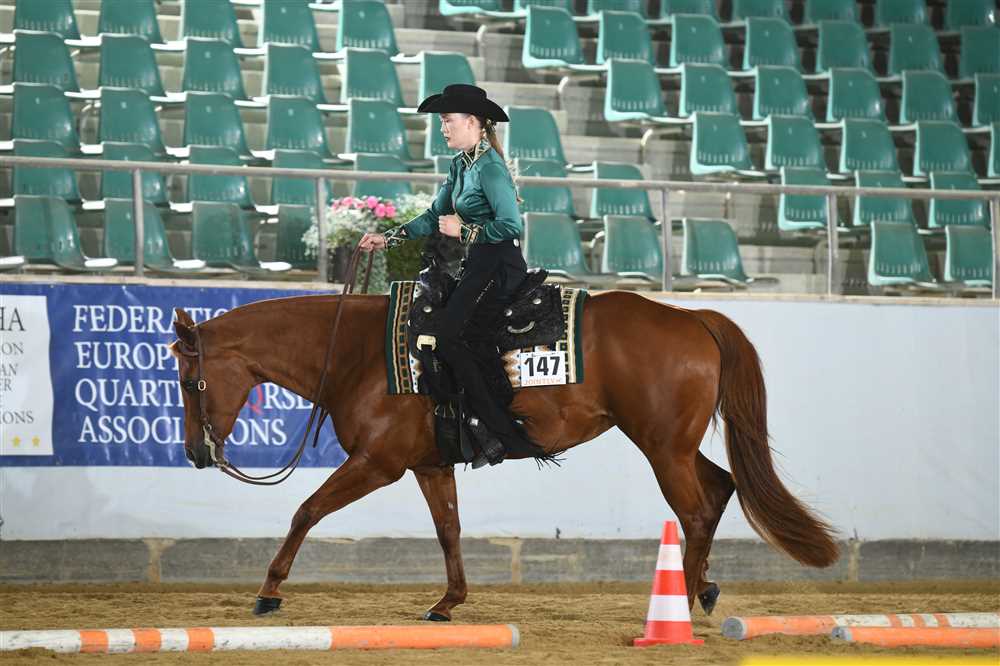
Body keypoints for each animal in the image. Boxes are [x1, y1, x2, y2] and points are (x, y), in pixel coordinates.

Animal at [170, 290, 838, 620]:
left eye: (190, 381)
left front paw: (269, 592)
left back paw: (689, 601)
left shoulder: (378, 464)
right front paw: (447, 602)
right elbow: (449, 529)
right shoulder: (429, 464)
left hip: (662, 447)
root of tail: (692, 316)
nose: (197, 452)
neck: (360, 352)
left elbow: (306, 511)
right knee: (721, 488)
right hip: (670, 444)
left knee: (697, 512)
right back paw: (704, 590)